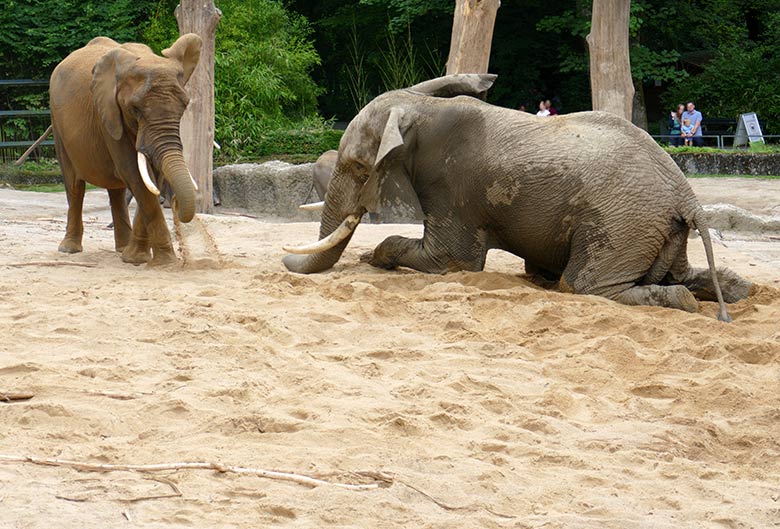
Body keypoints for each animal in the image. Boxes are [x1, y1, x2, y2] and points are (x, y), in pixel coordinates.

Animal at [49, 34, 201, 264]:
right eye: (135, 109)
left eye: (184, 106)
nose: (174, 204)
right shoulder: (108, 116)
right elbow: (136, 175)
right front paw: (164, 261)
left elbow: (151, 179)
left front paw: (136, 258)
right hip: (58, 124)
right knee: (75, 185)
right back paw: (69, 249)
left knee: (117, 192)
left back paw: (122, 248)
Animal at [282, 73, 748, 322]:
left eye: (360, 169)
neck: (421, 110)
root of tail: (686, 193)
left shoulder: (451, 184)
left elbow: (450, 262)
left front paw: (375, 257)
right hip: (655, 227)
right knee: (692, 276)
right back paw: (732, 289)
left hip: (622, 220)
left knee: (584, 286)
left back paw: (681, 301)